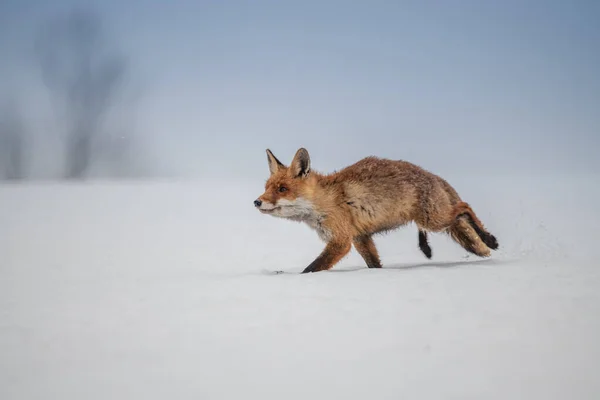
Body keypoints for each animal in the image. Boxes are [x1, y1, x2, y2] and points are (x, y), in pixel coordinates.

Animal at [253, 148, 496, 274]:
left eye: (282, 189)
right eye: (266, 187)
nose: (256, 202)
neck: (325, 200)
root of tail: (433, 175)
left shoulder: (341, 240)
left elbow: (312, 268)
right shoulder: (361, 237)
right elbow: (374, 264)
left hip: (434, 219)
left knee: (465, 207)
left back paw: (490, 239)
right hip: (432, 219)